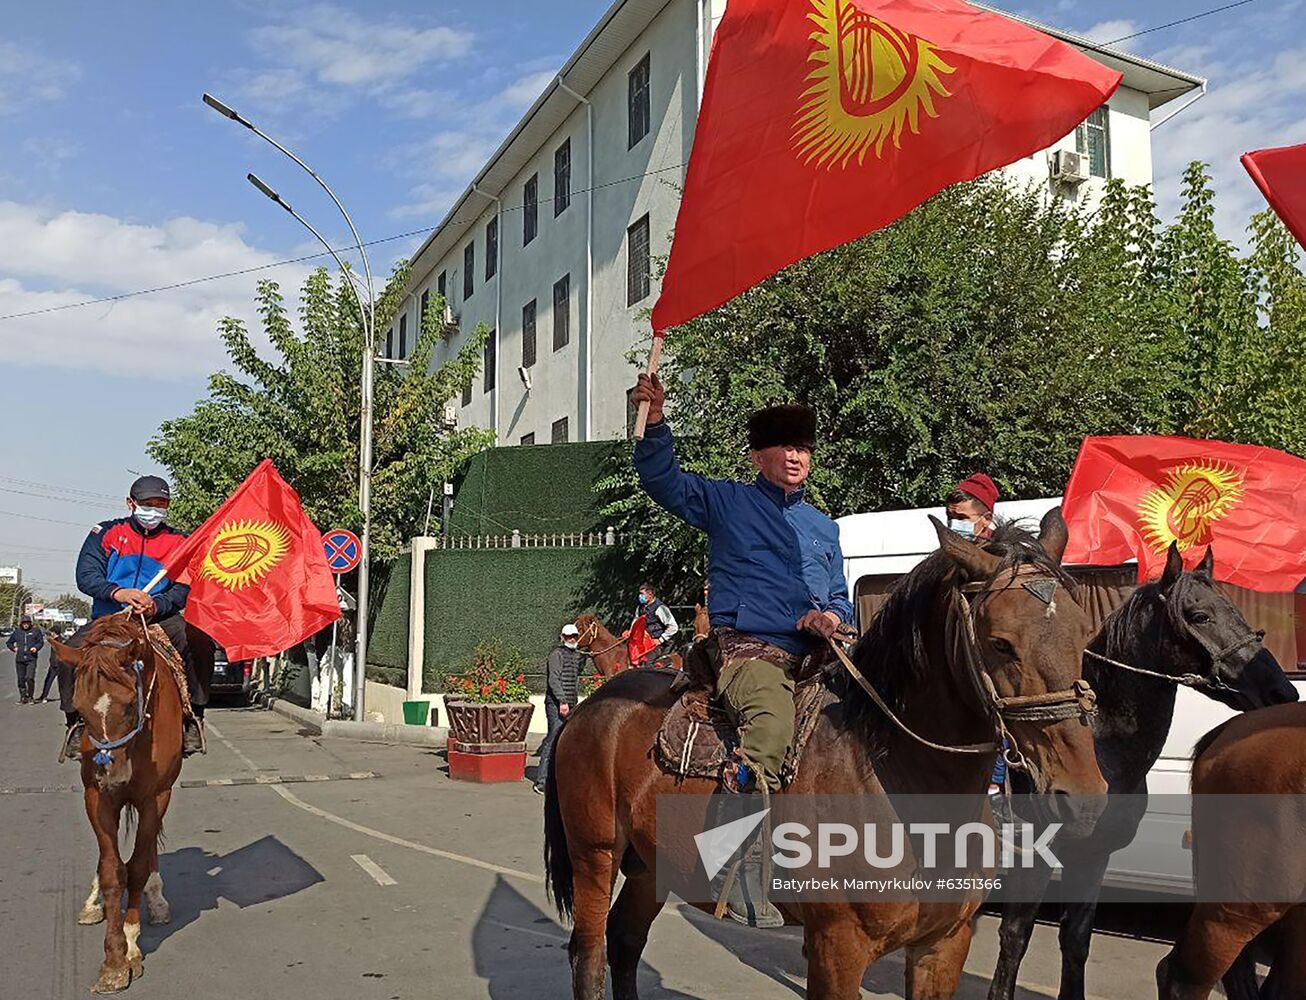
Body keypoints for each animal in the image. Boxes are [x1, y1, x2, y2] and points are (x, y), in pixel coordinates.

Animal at [50, 616, 185, 997]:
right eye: (79, 709)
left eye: (128, 706)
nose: (112, 774)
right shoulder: (97, 798)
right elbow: (113, 871)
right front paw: (113, 962)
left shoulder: (155, 797)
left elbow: (136, 867)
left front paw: (132, 945)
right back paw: (92, 904)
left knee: (148, 849)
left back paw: (157, 901)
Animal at [545, 516, 1107, 1000]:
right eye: (1001, 643)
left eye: (1084, 634)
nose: (1082, 797)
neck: (901, 785)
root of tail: (591, 705)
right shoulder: (838, 949)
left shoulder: (944, 944)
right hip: (595, 855)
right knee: (588, 954)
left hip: (650, 866)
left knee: (624, 943)